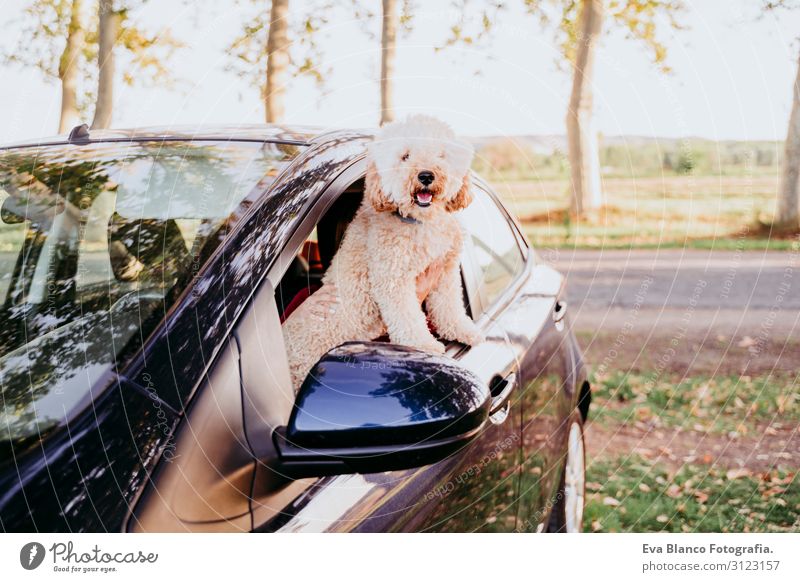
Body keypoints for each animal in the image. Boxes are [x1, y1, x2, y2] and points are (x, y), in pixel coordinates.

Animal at [278, 115, 484, 392]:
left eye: (441, 155)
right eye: (405, 156)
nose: (426, 175)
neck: (420, 221)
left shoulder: (446, 273)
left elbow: (449, 307)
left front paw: (463, 330)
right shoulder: (393, 278)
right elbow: (408, 318)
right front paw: (425, 345)